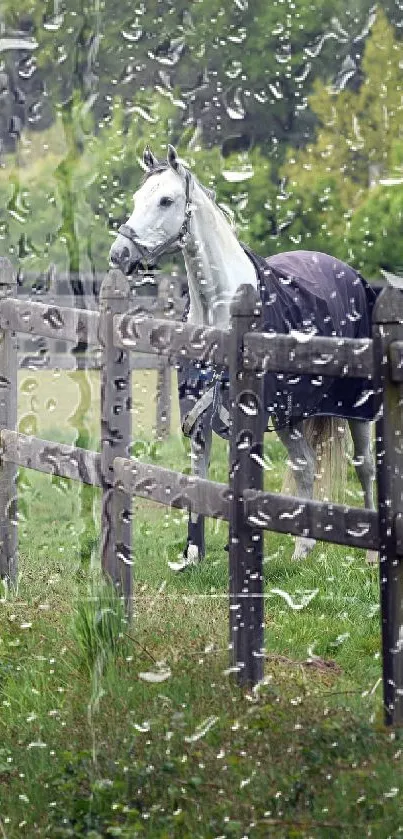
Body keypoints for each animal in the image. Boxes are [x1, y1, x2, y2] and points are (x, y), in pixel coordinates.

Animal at [109, 146, 378, 564]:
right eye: (138, 198)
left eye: (166, 200)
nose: (120, 255)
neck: (220, 316)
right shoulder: (199, 418)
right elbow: (198, 478)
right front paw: (193, 554)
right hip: (289, 416)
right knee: (305, 465)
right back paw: (302, 550)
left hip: (357, 408)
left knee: (364, 468)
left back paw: (369, 555)